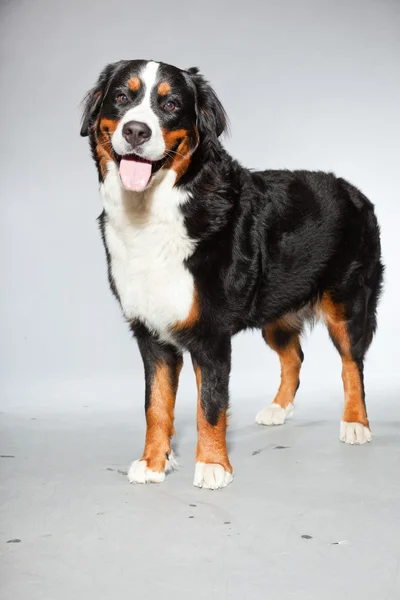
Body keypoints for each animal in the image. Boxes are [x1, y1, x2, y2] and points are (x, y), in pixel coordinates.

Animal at [79, 58, 382, 490]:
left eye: (170, 104)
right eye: (122, 97)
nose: (136, 130)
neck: (154, 212)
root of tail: (352, 189)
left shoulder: (210, 334)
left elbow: (210, 405)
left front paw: (212, 465)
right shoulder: (152, 334)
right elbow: (156, 405)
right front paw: (154, 462)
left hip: (348, 302)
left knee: (352, 363)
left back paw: (356, 423)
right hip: (277, 308)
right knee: (294, 356)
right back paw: (277, 408)